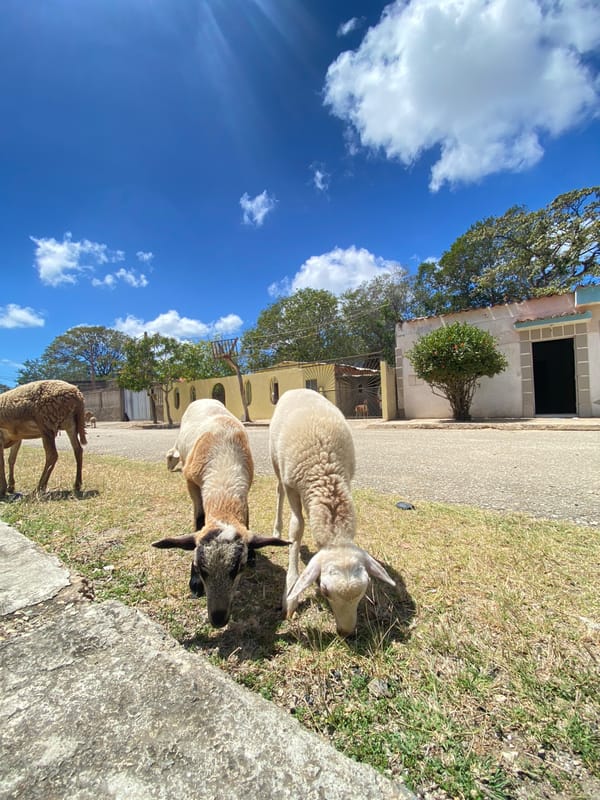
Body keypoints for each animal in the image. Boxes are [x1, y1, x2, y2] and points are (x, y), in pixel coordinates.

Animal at [153, 399, 288, 628]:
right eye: (201, 570)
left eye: (237, 569)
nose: (217, 619)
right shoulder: (191, 483)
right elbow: (199, 521)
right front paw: (195, 583)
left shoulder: (245, 487)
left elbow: (246, 517)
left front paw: (253, 554)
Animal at [269, 388, 395, 636]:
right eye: (325, 590)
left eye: (365, 588)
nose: (346, 633)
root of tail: (298, 388)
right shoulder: (292, 486)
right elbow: (296, 528)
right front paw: (291, 593)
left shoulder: (346, 478)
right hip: (277, 464)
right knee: (278, 491)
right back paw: (277, 530)